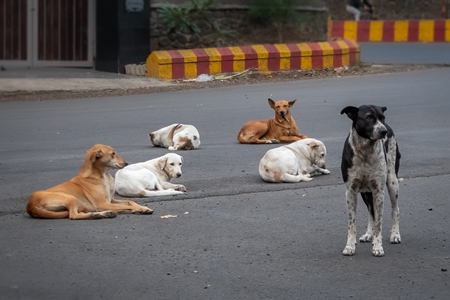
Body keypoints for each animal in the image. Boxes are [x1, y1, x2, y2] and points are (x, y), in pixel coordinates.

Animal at [342, 104, 400, 256]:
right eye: (368, 117)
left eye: (382, 117)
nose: (383, 131)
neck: (365, 151)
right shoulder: (351, 191)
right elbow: (351, 224)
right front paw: (350, 246)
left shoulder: (378, 191)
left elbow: (379, 222)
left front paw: (378, 246)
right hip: (365, 192)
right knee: (371, 212)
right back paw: (369, 234)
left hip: (392, 182)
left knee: (395, 210)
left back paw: (395, 235)